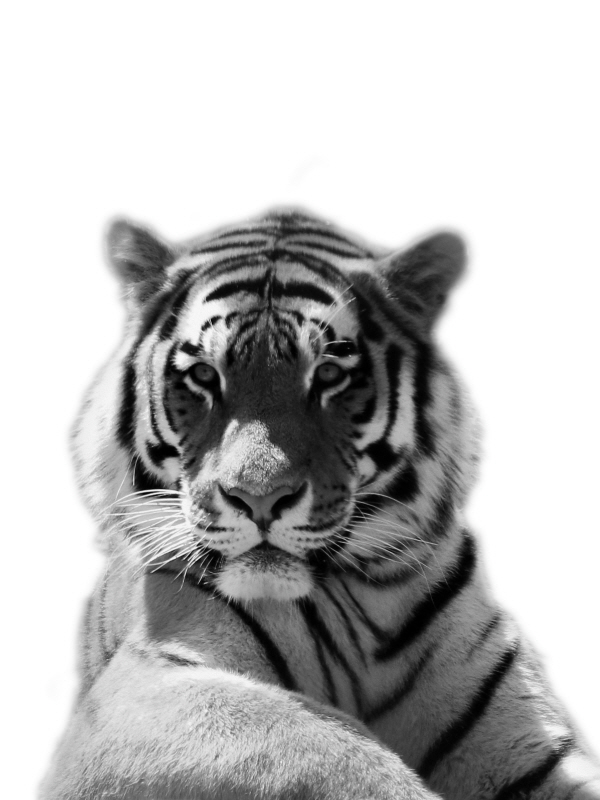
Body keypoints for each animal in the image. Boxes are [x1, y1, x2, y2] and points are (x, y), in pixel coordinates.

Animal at [41, 209, 600, 800]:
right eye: (204, 376)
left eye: (329, 375)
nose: (259, 498)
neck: (366, 612)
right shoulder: (145, 689)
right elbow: (326, 752)